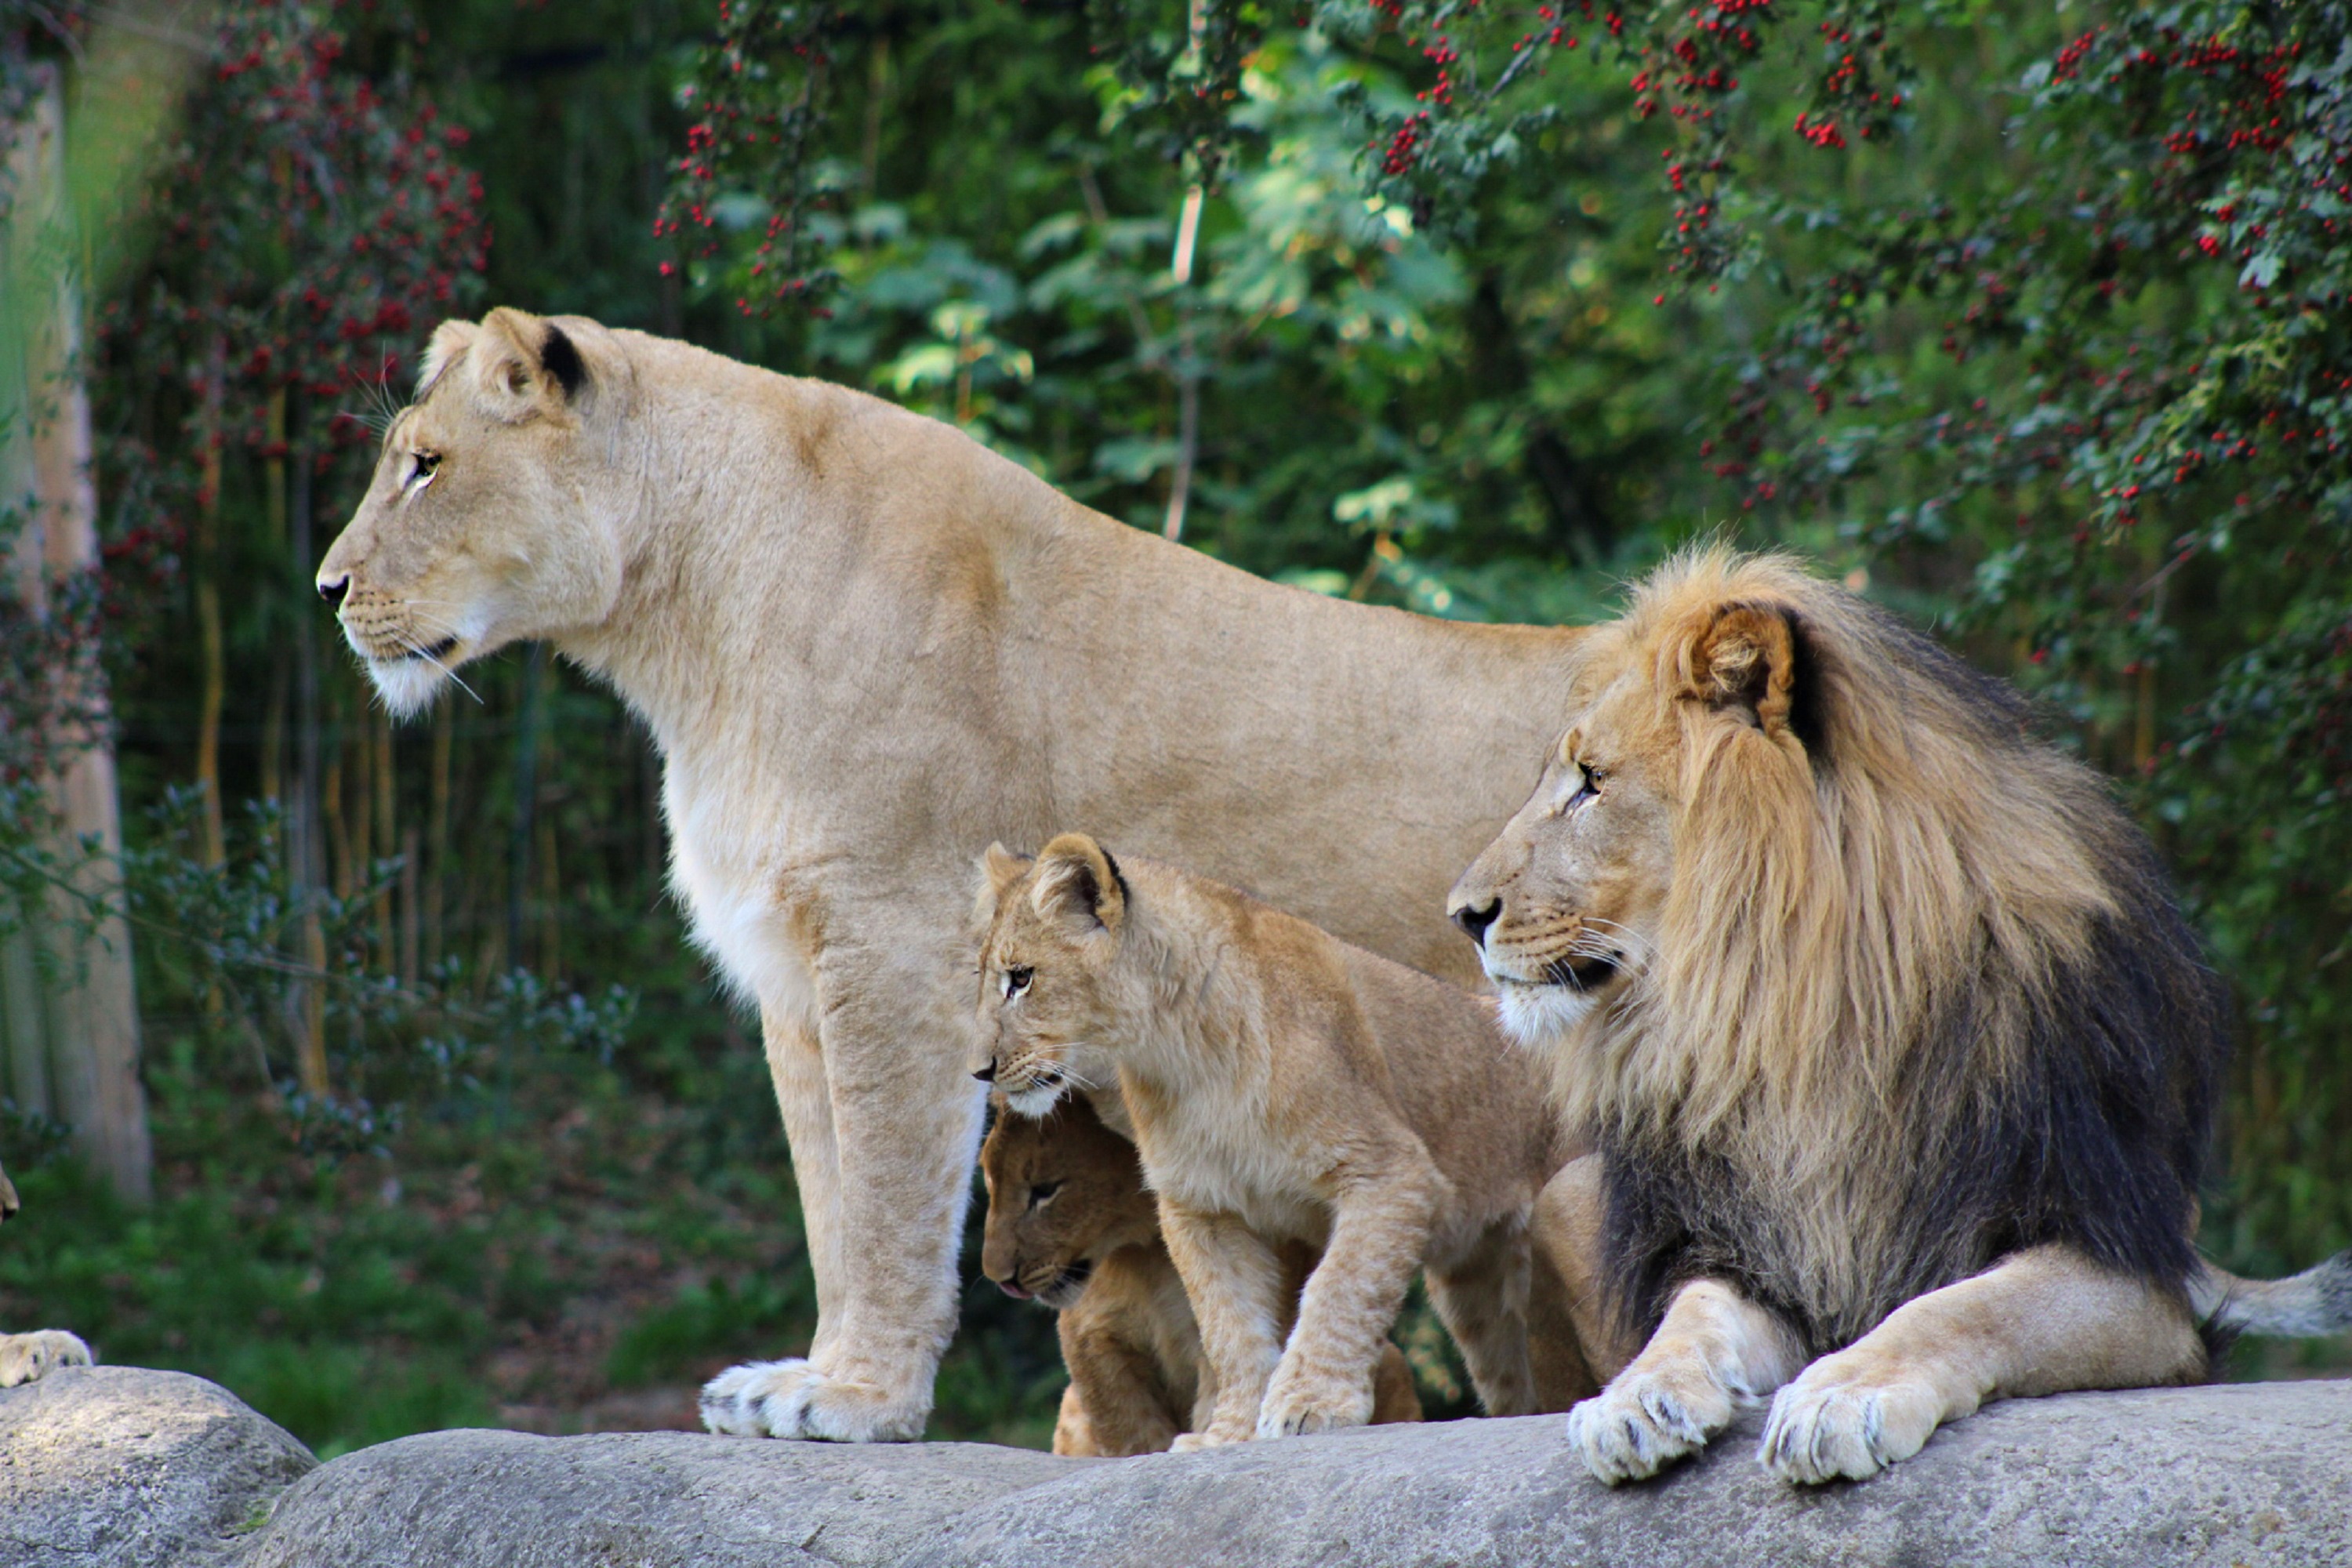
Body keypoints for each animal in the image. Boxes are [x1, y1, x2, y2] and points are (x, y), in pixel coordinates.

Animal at [974, 1091, 1411, 1457]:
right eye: (989, 1180)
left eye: (1045, 1190)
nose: (1001, 1279)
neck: (1147, 1255)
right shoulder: (1090, 1339)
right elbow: (1128, 1431)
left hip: (1391, 1360)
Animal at [1449, 550, 2352, 1486]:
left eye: (1592, 784)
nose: (1463, 914)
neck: (1795, 1008)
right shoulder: (1751, 1246)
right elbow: (1690, 1314)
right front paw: (1638, 1395)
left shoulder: (2129, 1265)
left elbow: (1962, 1306)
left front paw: (1844, 1394)